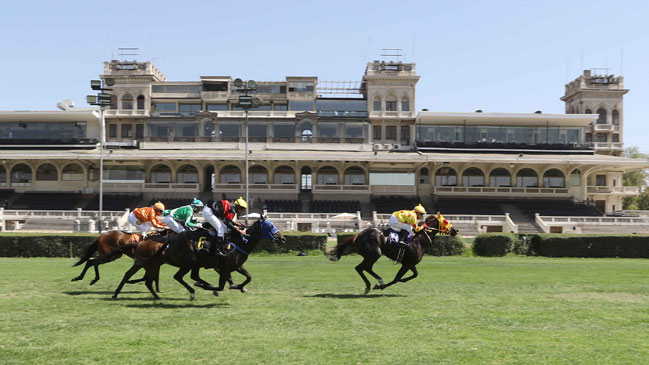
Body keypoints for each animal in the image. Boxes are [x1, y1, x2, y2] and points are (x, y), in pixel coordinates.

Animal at [112, 216, 284, 298]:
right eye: (270, 226)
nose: (282, 239)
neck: (240, 241)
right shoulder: (224, 267)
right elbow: (221, 285)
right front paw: (217, 287)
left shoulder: (236, 266)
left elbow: (248, 277)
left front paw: (239, 286)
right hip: (178, 262)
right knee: (175, 276)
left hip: (156, 263)